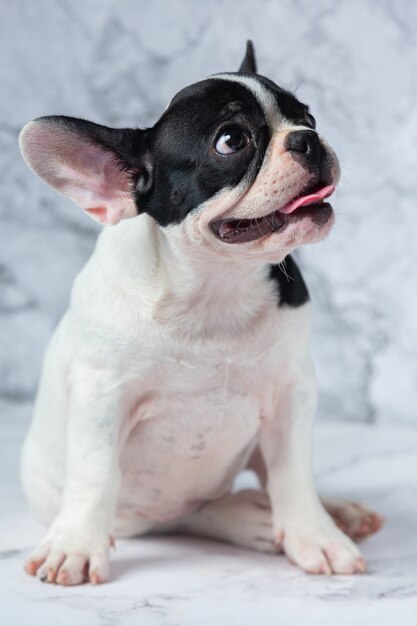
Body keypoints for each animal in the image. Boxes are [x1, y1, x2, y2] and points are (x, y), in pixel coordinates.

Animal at [17, 41, 380, 584]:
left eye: (309, 116)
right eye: (231, 140)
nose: (309, 139)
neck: (215, 286)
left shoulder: (292, 390)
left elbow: (293, 469)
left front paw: (315, 534)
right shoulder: (102, 394)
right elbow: (95, 472)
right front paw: (75, 546)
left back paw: (332, 511)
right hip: (135, 512)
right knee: (183, 513)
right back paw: (247, 516)